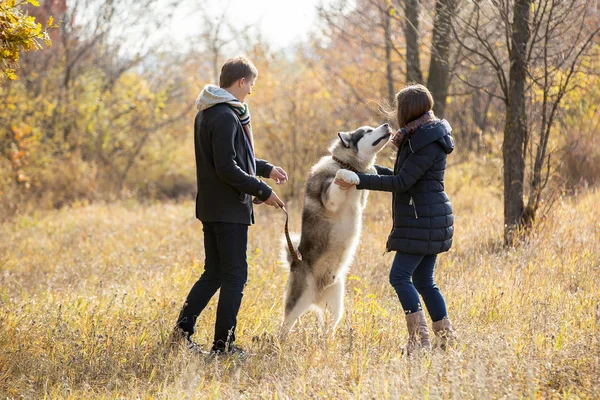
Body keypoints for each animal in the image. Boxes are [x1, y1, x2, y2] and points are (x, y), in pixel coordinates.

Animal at [282, 122, 394, 334]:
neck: (345, 162)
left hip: (336, 305)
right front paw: (350, 175)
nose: (386, 124)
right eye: (367, 131)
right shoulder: (330, 199)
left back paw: (327, 339)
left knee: (328, 325)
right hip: (297, 302)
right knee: (285, 325)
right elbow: (340, 175)